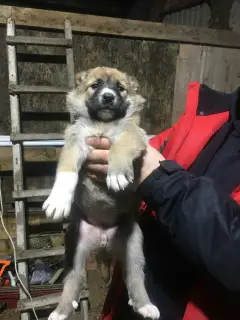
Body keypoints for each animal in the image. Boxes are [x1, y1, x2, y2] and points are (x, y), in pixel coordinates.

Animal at [42, 66, 160, 318]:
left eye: (120, 88)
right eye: (95, 85)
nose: (108, 97)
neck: (102, 124)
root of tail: (104, 240)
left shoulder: (133, 134)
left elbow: (120, 145)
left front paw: (116, 174)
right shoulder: (75, 142)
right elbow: (66, 172)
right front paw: (58, 201)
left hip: (133, 248)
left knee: (135, 278)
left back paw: (145, 306)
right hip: (75, 248)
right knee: (73, 279)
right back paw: (61, 311)